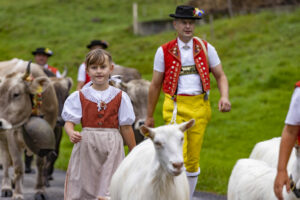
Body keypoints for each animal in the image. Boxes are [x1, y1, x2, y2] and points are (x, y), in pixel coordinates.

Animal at [0, 58, 57, 199]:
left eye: (16, 94)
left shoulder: (45, 139)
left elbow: (40, 164)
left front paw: (40, 190)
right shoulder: (12, 137)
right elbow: (18, 167)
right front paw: (18, 194)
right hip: (3, 139)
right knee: (5, 160)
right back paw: (6, 187)